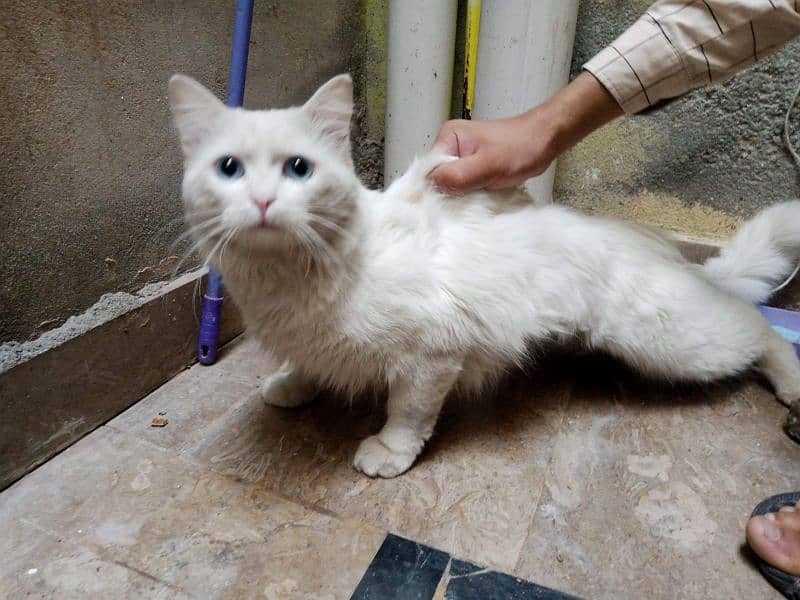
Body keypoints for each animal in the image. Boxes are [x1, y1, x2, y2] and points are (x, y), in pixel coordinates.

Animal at [169, 75, 800, 478]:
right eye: (229, 169)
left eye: (298, 168)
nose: (263, 201)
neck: (288, 280)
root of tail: (659, 247)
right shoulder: (313, 336)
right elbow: (308, 362)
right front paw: (294, 386)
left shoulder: (431, 356)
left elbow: (408, 414)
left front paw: (389, 454)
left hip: (670, 342)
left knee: (759, 328)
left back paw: (791, 386)